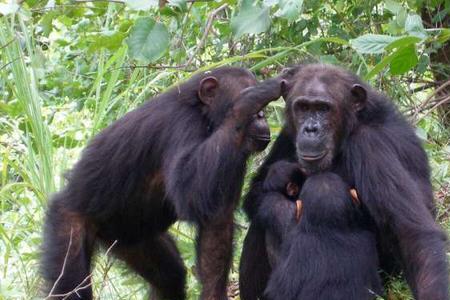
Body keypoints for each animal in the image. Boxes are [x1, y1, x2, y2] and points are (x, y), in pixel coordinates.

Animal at [42, 67, 288, 298]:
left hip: (133, 239)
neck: (204, 114)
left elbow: (215, 221)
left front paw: (213, 294)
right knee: (70, 289)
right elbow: (190, 189)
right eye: (257, 108)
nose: (262, 116)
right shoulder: (183, 125)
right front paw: (249, 101)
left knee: (169, 277)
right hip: (67, 224)